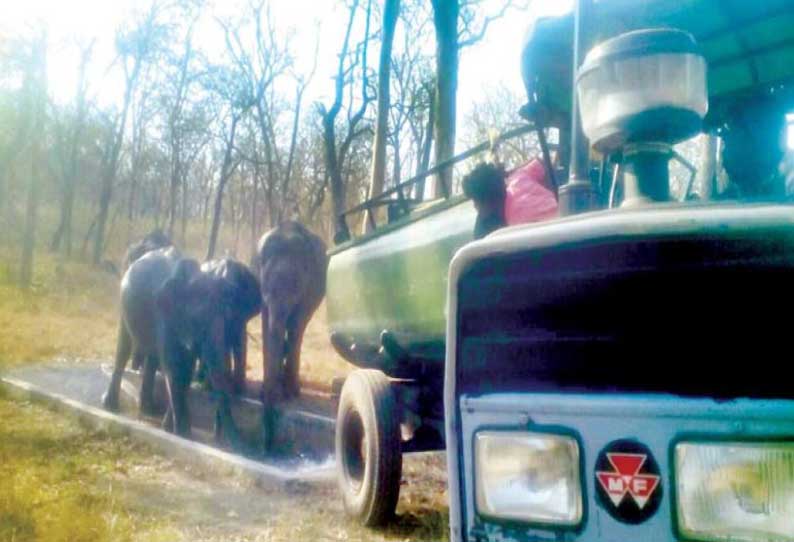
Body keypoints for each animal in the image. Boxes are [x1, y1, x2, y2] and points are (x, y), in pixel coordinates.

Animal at [103, 249, 244, 448]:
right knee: (124, 348)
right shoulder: (165, 315)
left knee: (152, 358)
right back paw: (110, 406)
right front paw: (183, 433)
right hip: (124, 307)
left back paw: (149, 409)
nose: (246, 449)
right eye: (199, 319)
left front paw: (170, 428)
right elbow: (174, 367)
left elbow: (186, 369)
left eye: (226, 317)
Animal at [255, 221, 326, 404]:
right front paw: (268, 392)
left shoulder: (309, 290)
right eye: (264, 288)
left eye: (295, 288)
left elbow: (296, 324)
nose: (267, 399)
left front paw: (289, 393)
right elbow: (267, 326)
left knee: (298, 328)